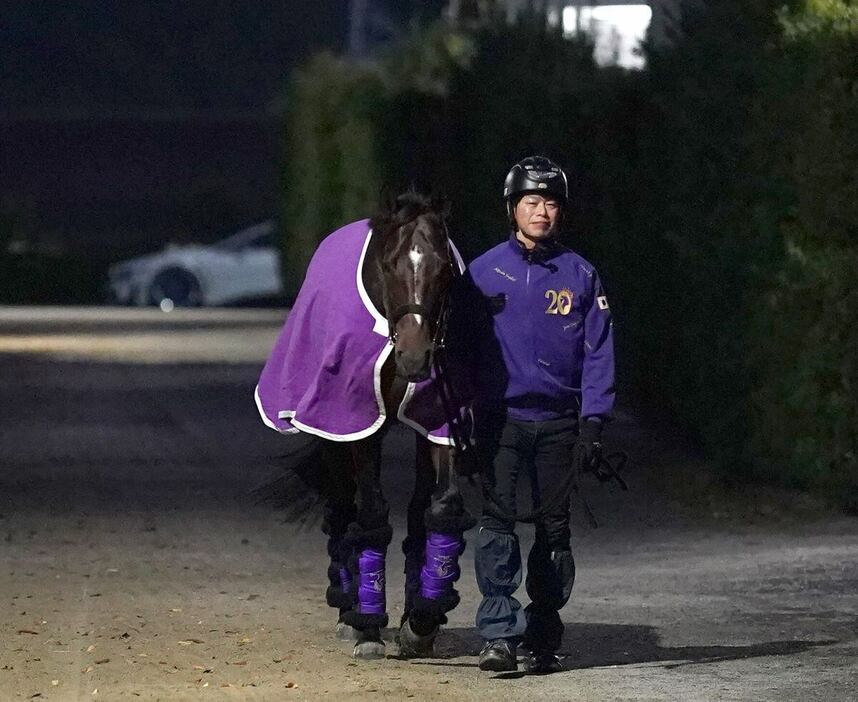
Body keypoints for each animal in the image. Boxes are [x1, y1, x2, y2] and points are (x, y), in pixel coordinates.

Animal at [258, 192, 478, 660]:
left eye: (444, 268)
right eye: (391, 266)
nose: (416, 357)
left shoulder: (438, 416)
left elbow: (440, 507)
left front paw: (422, 618)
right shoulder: (355, 421)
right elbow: (372, 511)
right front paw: (369, 627)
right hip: (330, 432)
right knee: (342, 508)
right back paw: (348, 609)